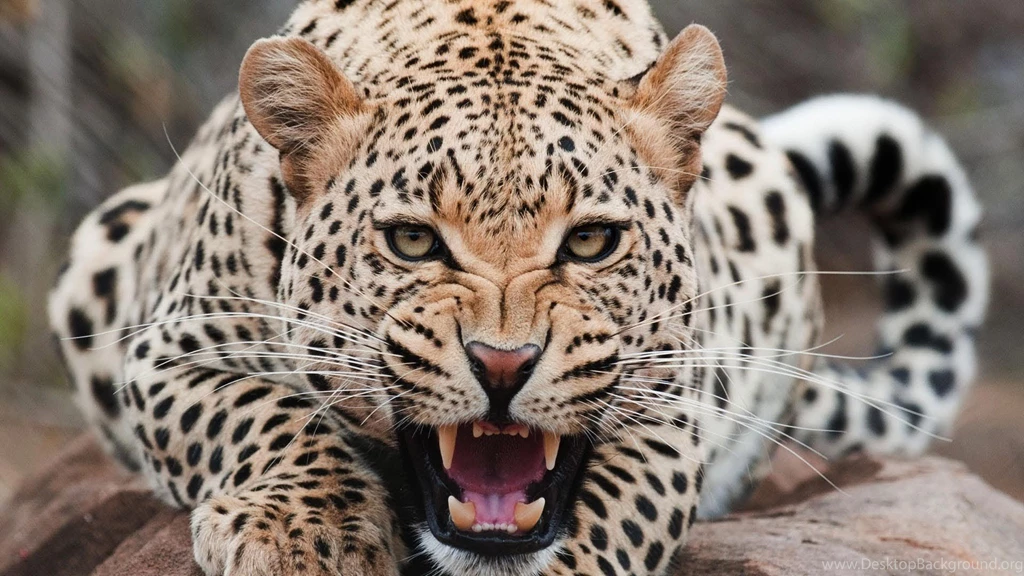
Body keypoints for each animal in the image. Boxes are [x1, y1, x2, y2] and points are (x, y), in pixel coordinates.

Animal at [48, 0, 988, 575]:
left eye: (593, 240)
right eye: (413, 240)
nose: (503, 365)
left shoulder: (672, 410)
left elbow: (611, 520)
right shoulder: (167, 350)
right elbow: (261, 416)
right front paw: (305, 535)